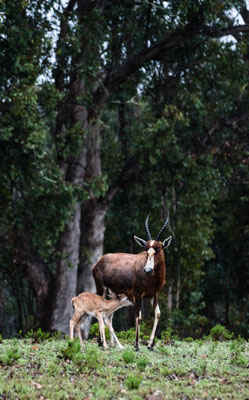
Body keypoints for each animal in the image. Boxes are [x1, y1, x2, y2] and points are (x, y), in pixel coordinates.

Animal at [92, 216, 172, 350]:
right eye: (146, 250)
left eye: (158, 249)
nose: (147, 270)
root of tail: (99, 262)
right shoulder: (138, 294)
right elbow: (138, 317)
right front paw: (137, 345)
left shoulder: (154, 295)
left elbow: (158, 314)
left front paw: (150, 345)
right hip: (101, 290)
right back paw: (100, 343)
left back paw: (110, 343)